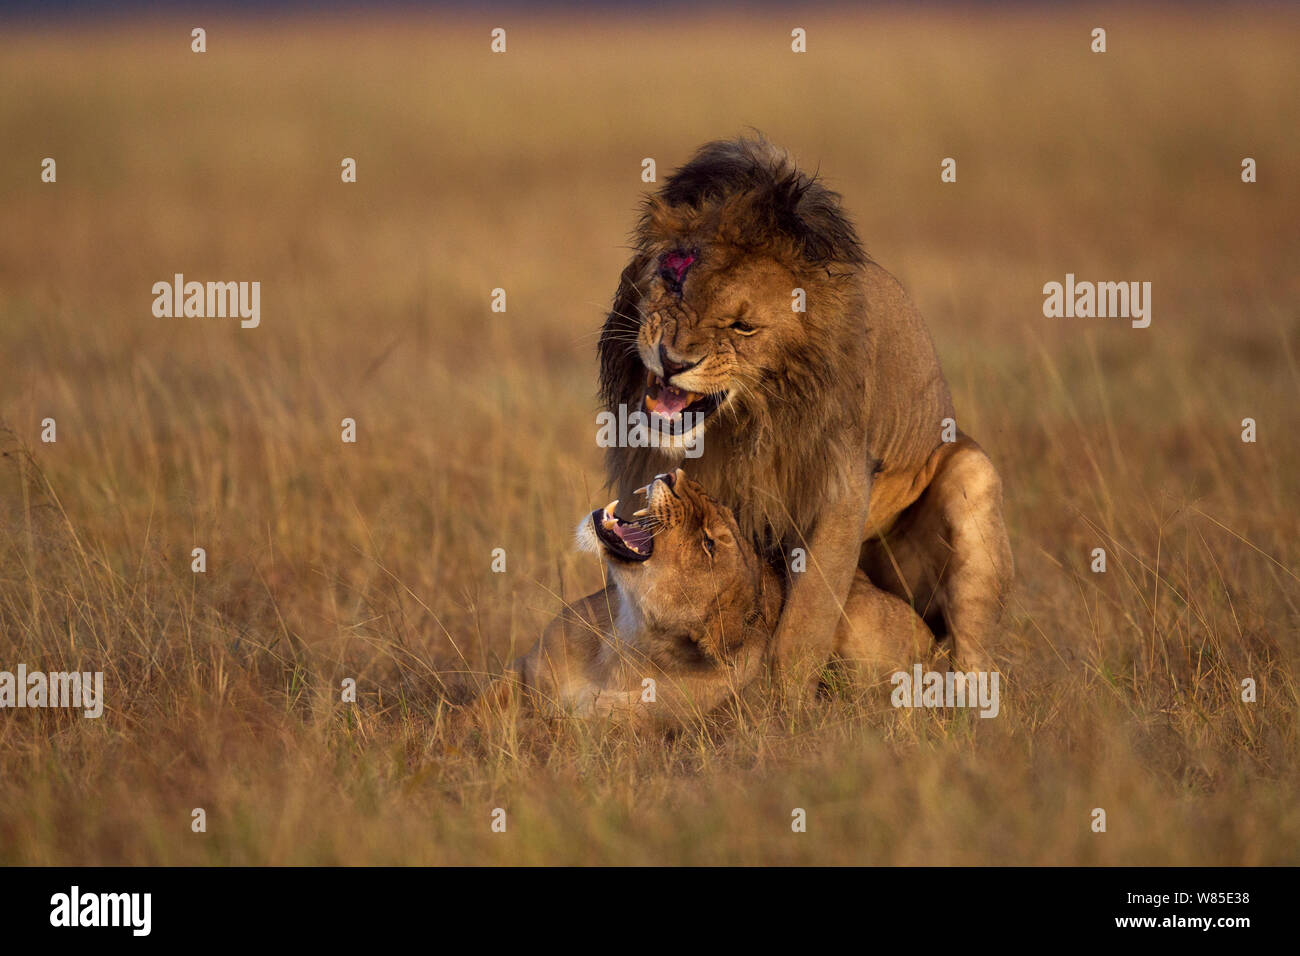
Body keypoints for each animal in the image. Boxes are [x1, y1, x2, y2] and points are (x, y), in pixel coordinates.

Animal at [454, 470, 931, 732]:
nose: (672, 476)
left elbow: (541, 732)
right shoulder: (525, 672)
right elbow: (468, 715)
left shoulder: (622, 732)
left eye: (708, 544)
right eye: (713, 501)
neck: (626, 640)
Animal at [597, 136, 1013, 679]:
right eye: (673, 282)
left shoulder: (842, 487)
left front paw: (779, 695)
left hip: (972, 478)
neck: (745, 424)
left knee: (971, 654)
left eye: (743, 327)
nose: (672, 361)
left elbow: (806, 617)